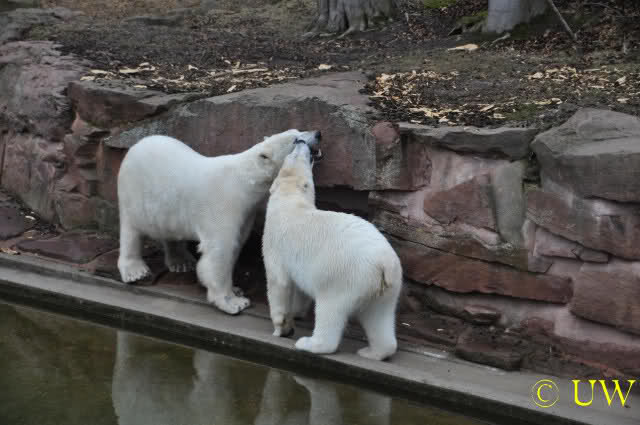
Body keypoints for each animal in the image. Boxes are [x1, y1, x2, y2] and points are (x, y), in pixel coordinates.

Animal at [117, 129, 321, 315]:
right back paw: (135, 270)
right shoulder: (223, 205)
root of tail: (137, 145)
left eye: (299, 130)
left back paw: (181, 262)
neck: (244, 182)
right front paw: (233, 302)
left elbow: (236, 246)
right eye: (295, 139)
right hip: (134, 193)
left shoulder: (246, 213)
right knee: (131, 229)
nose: (318, 133)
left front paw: (236, 289)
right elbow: (220, 251)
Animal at [262, 141, 403, 361]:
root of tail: (385, 263)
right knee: (379, 316)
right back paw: (371, 352)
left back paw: (309, 343)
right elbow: (299, 289)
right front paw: (296, 313)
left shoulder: (275, 243)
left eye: (294, 156)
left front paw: (281, 328)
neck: (290, 200)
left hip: (345, 277)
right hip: (386, 287)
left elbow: (278, 282)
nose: (300, 141)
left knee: (331, 309)